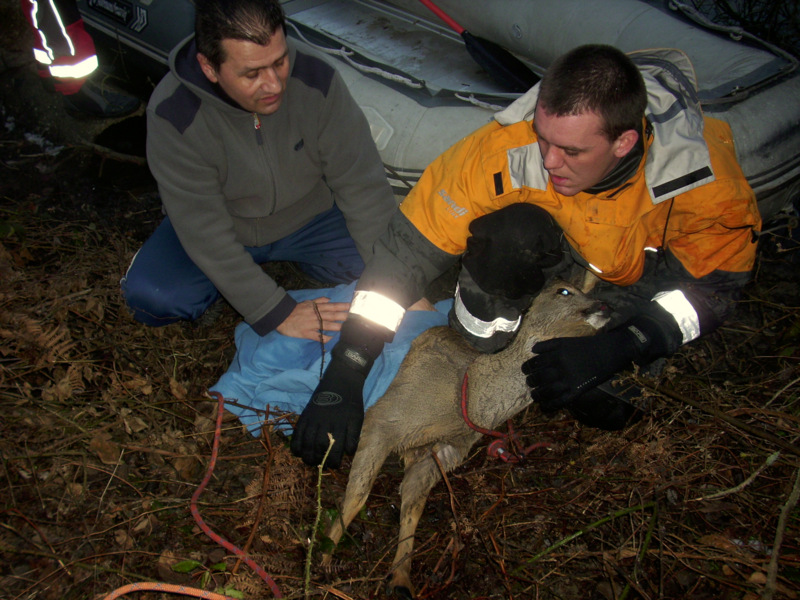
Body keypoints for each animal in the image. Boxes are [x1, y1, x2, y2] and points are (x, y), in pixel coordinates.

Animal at [318, 278, 608, 596]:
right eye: (564, 291)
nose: (604, 305)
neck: (468, 397)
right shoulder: (383, 418)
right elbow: (358, 495)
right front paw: (324, 557)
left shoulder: (441, 455)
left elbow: (412, 510)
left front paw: (401, 579)